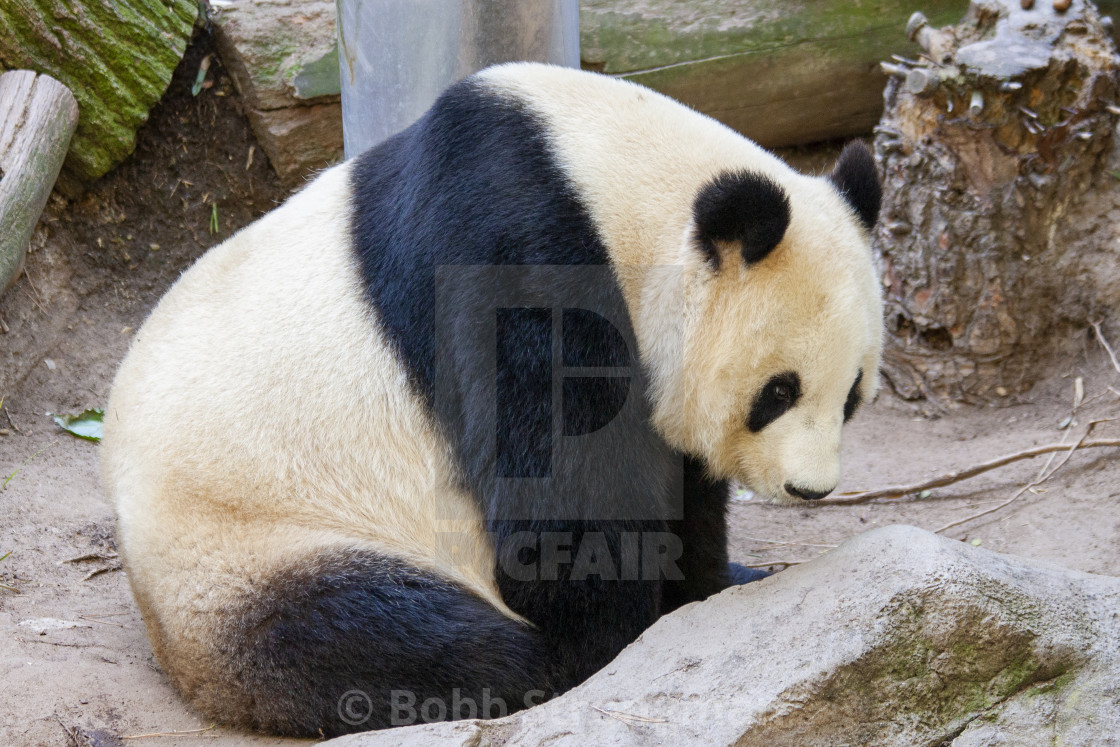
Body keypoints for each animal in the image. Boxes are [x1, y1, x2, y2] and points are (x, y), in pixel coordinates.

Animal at [100, 62, 878, 734]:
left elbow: (672, 479)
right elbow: (562, 485)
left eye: (852, 397)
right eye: (778, 391)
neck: (612, 181)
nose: (810, 488)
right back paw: (536, 663)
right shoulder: (515, 246)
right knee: (378, 631)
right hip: (252, 543)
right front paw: (614, 636)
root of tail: (168, 644)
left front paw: (722, 582)